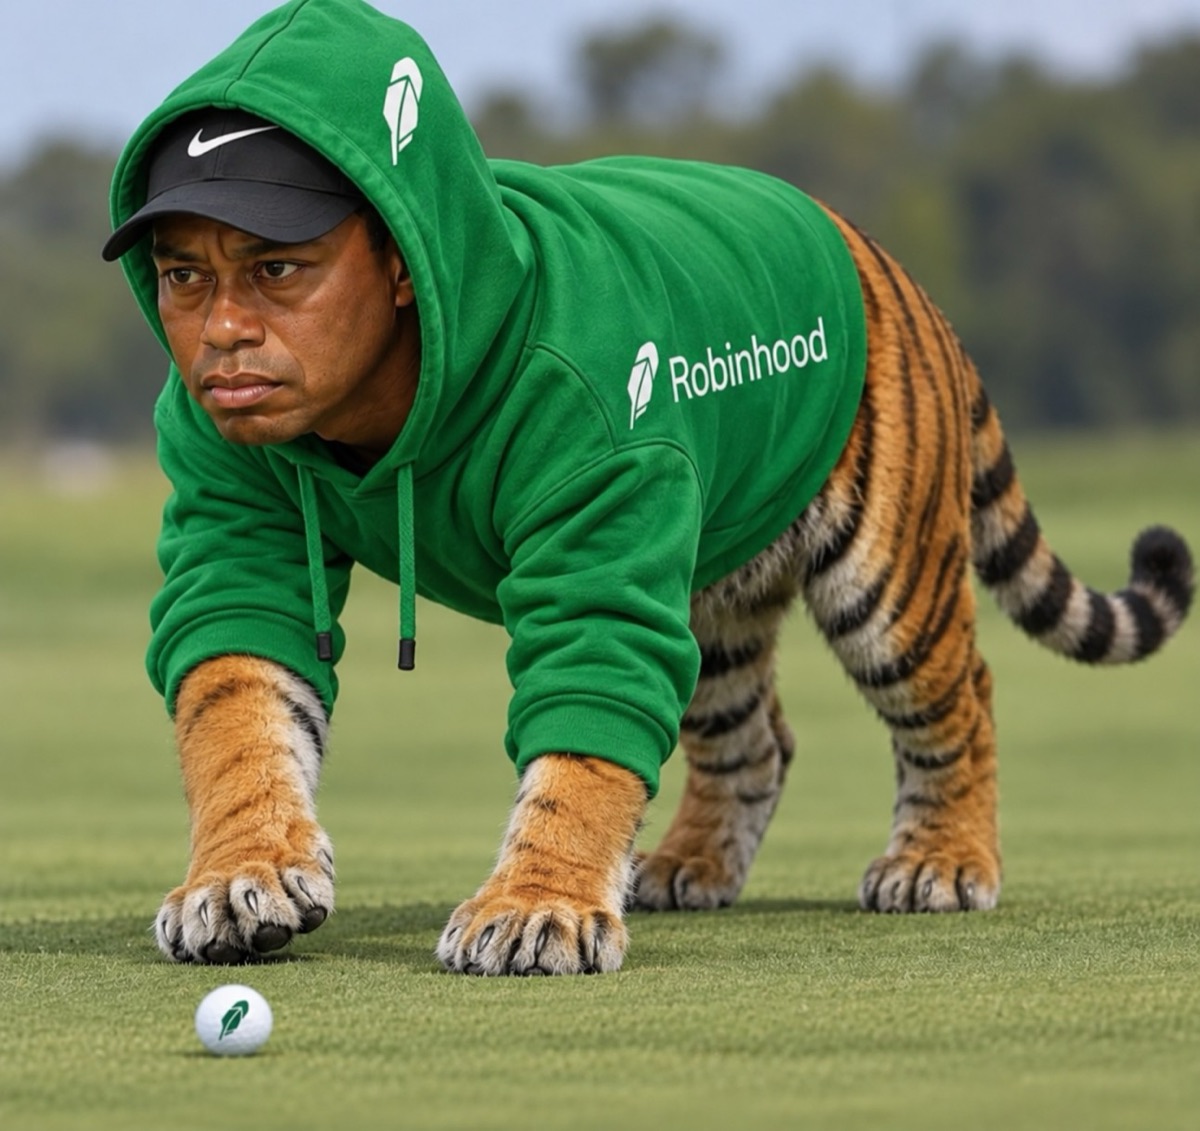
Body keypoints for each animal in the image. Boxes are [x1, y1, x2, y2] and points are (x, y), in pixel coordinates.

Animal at [155, 206, 1193, 974]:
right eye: (185, 275)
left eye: (277, 268)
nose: (226, 347)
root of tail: (900, 274)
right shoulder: (236, 510)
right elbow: (239, 719)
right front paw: (237, 883)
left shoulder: (604, 516)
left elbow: (579, 748)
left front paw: (535, 910)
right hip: (713, 606)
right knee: (757, 741)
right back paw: (688, 865)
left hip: (888, 584)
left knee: (960, 702)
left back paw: (937, 864)